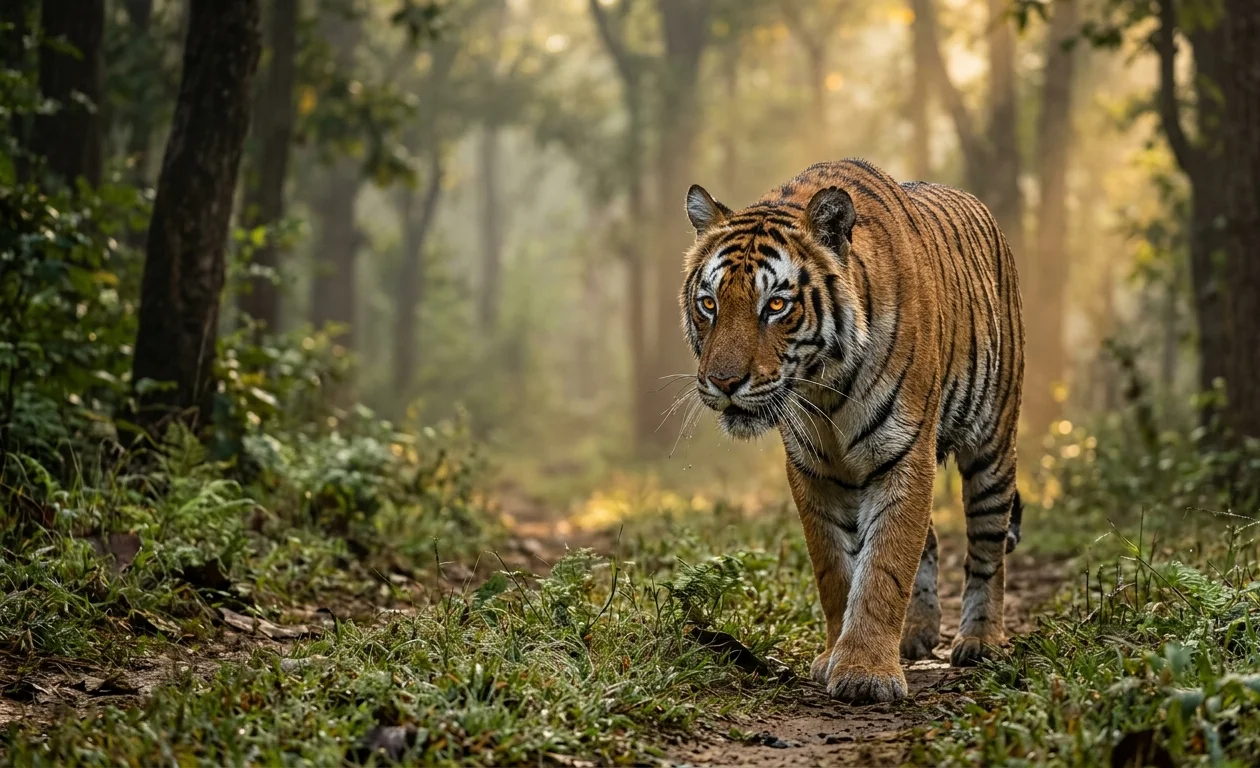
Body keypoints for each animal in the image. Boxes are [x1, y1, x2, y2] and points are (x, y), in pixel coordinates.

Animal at [679, 159, 1024, 704]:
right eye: (709, 304)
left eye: (775, 306)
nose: (724, 382)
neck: (824, 387)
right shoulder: (813, 470)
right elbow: (836, 571)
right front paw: (837, 656)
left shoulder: (903, 454)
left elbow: (884, 565)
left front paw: (865, 673)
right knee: (929, 540)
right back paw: (914, 635)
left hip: (992, 444)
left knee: (987, 546)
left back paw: (981, 640)